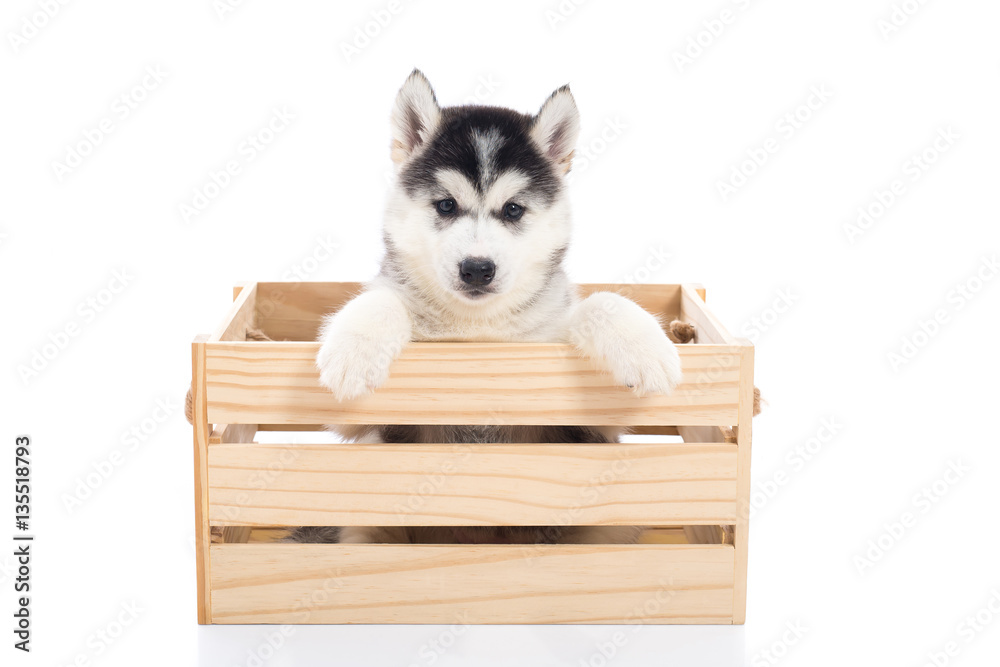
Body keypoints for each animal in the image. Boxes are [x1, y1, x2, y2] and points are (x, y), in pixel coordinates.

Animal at [292, 70, 680, 544]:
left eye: (513, 210)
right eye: (446, 205)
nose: (477, 269)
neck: (478, 329)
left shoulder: (590, 425)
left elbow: (602, 302)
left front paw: (646, 350)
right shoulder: (361, 427)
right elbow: (381, 298)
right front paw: (355, 351)